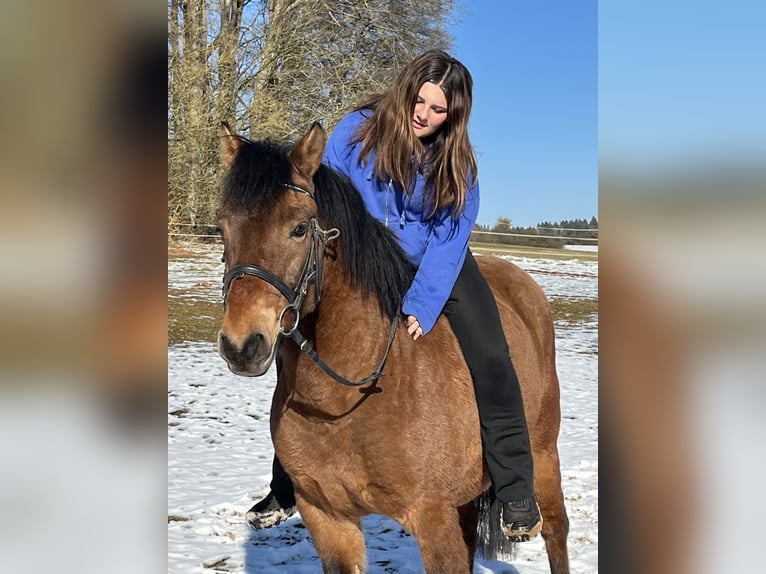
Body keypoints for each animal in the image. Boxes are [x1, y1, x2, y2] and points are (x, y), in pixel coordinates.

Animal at [216, 122, 568, 574]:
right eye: (223, 229)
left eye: (298, 228)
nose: (242, 345)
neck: (349, 397)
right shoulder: (328, 519)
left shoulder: (433, 518)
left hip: (543, 457)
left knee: (557, 533)